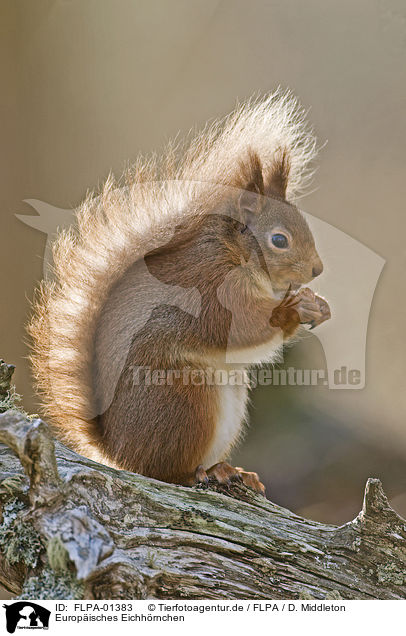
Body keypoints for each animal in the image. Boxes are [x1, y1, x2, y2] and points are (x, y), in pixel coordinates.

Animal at [30, 89, 330, 496]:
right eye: (279, 240)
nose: (317, 270)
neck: (236, 253)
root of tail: (118, 452)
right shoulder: (208, 284)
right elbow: (240, 326)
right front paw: (295, 311)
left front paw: (318, 304)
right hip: (185, 397)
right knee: (165, 470)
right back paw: (196, 473)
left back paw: (230, 470)